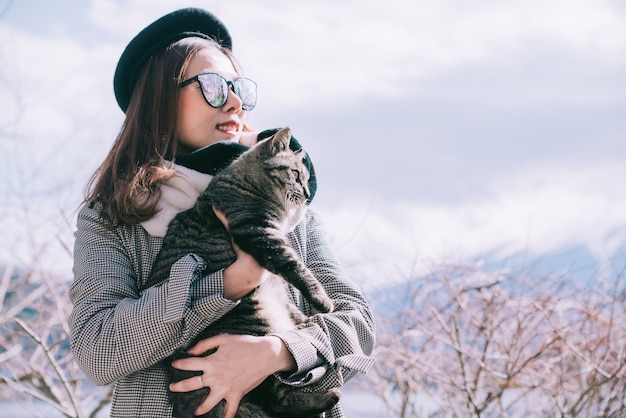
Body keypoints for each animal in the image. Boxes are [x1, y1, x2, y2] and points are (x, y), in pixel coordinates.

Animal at [143, 128, 336, 418]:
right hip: (254, 326)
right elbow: (296, 268)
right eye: (296, 174)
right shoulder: (260, 233)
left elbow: (293, 295)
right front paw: (322, 301)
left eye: (305, 177)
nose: (304, 192)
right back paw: (328, 396)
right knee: (275, 396)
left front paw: (308, 319)